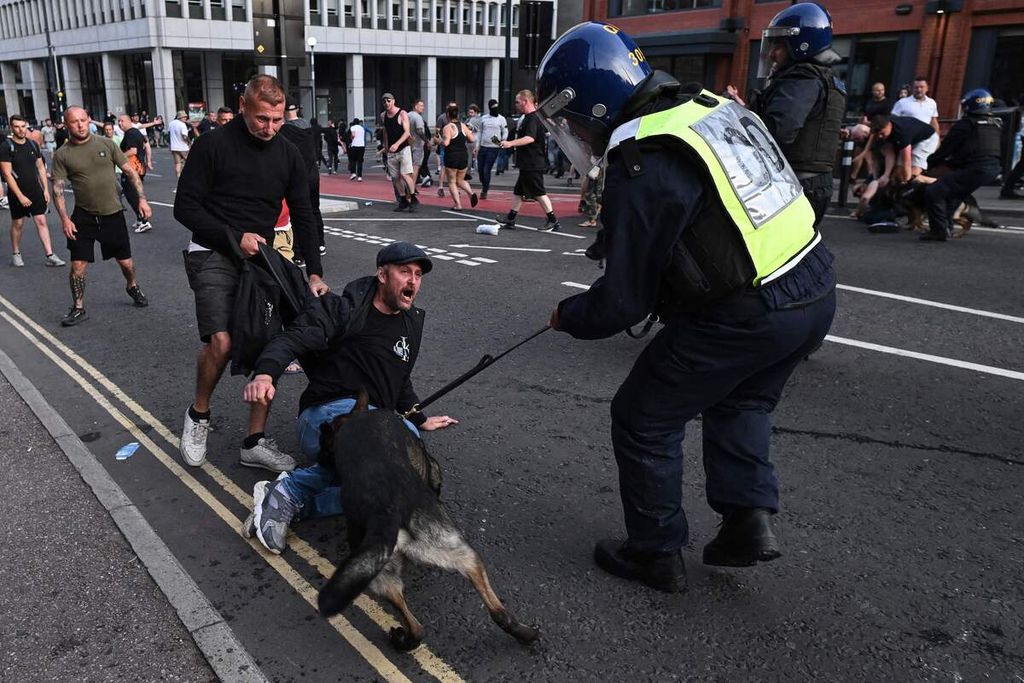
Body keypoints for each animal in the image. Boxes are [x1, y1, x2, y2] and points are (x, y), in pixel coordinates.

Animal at [313, 393, 540, 651]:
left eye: (322, 444)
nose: (317, 460)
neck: (352, 419)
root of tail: (388, 510)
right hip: (450, 552)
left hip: (386, 570)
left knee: (422, 626)